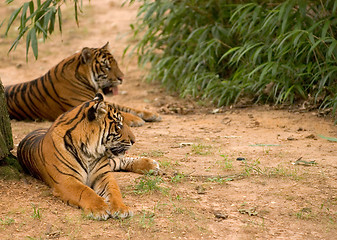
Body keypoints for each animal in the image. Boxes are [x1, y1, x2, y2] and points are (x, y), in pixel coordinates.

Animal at [3, 42, 159, 126]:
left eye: (116, 64)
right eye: (106, 66)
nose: (122, 78)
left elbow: (125, 107)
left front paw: (152, 114)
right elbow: (119, 111)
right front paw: (137, 120)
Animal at [15, 93, 158, 220]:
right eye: (118, 125)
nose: (134, 140)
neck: (89, 152)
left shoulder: (103, 175)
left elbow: (114, 191)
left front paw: (121, 209)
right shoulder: (66, 180)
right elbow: (85, 191)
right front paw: (100, 209)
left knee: (118, 160)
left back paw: (151, 165)